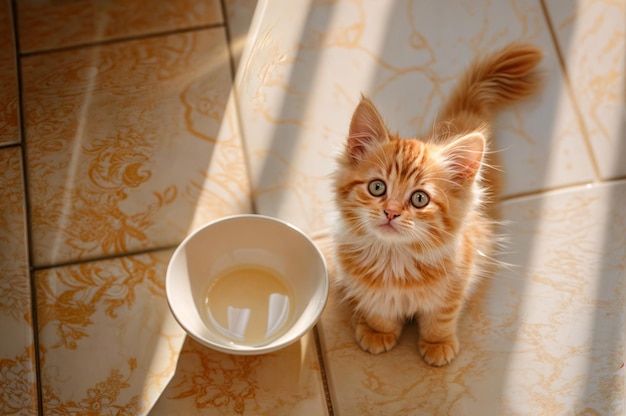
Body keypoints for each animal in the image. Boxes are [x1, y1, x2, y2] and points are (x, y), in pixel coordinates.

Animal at [332, 43, 540, 368]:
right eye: (377, 187)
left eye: (420, 199)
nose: (391, 212)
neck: (394, 260)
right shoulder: (367, 288)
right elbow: (378, 309)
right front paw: (378, 332)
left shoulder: (457, 281)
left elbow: (440, 318)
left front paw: (437, 344)